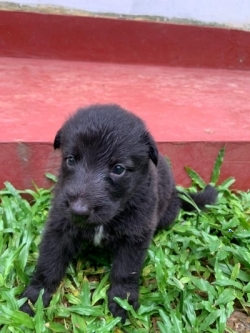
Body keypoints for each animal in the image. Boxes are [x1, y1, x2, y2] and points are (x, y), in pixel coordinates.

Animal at [21, 104, 217, 322]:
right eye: (70, 159)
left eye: (118, 169)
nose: (78, 210)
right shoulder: (59, 226)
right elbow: (48, 263)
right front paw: (34, 297)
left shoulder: (135, 236)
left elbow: (125, 271)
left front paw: (122, 302)